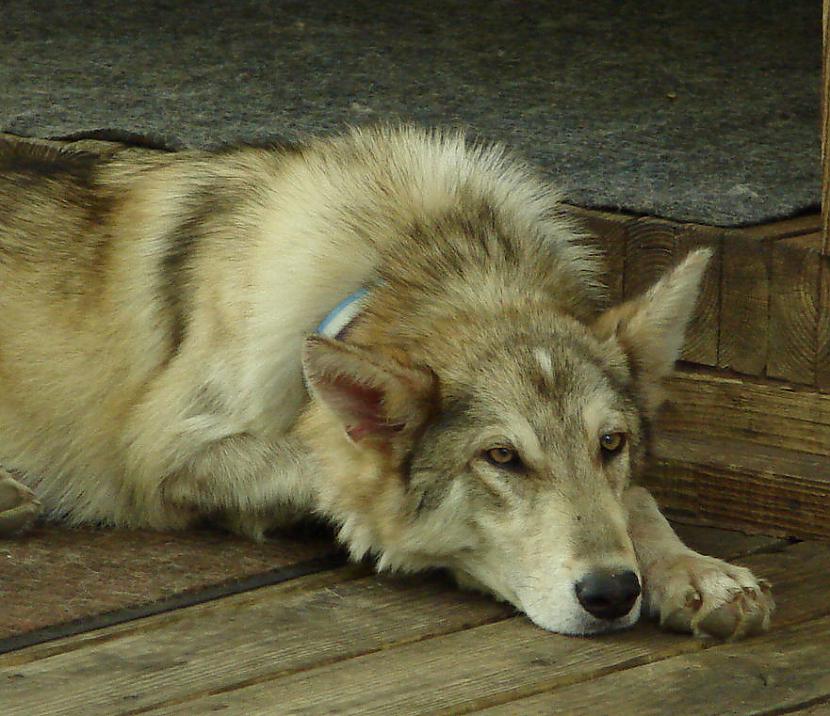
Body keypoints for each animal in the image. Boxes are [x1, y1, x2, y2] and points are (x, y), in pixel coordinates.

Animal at [0, 127, 776, 636]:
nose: (613, 593)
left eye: (610, 445)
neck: (413, 257)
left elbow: (637, 500)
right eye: (500, 458)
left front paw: (696, 571)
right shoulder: (160, 457)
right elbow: (328, 470)